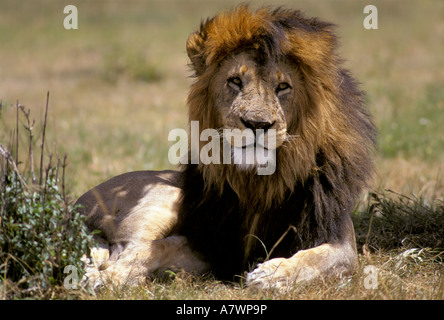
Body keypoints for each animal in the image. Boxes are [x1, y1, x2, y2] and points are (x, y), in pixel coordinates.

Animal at [76, 5, 374, 290]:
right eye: (235, 81)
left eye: (283, 87)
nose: (257, 124)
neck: (257, 184)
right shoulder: (208, 244)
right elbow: (155, 249)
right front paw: (110, 277)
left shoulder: (341, 243)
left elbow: (312, 259)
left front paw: (272, 275)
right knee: (121, 249)